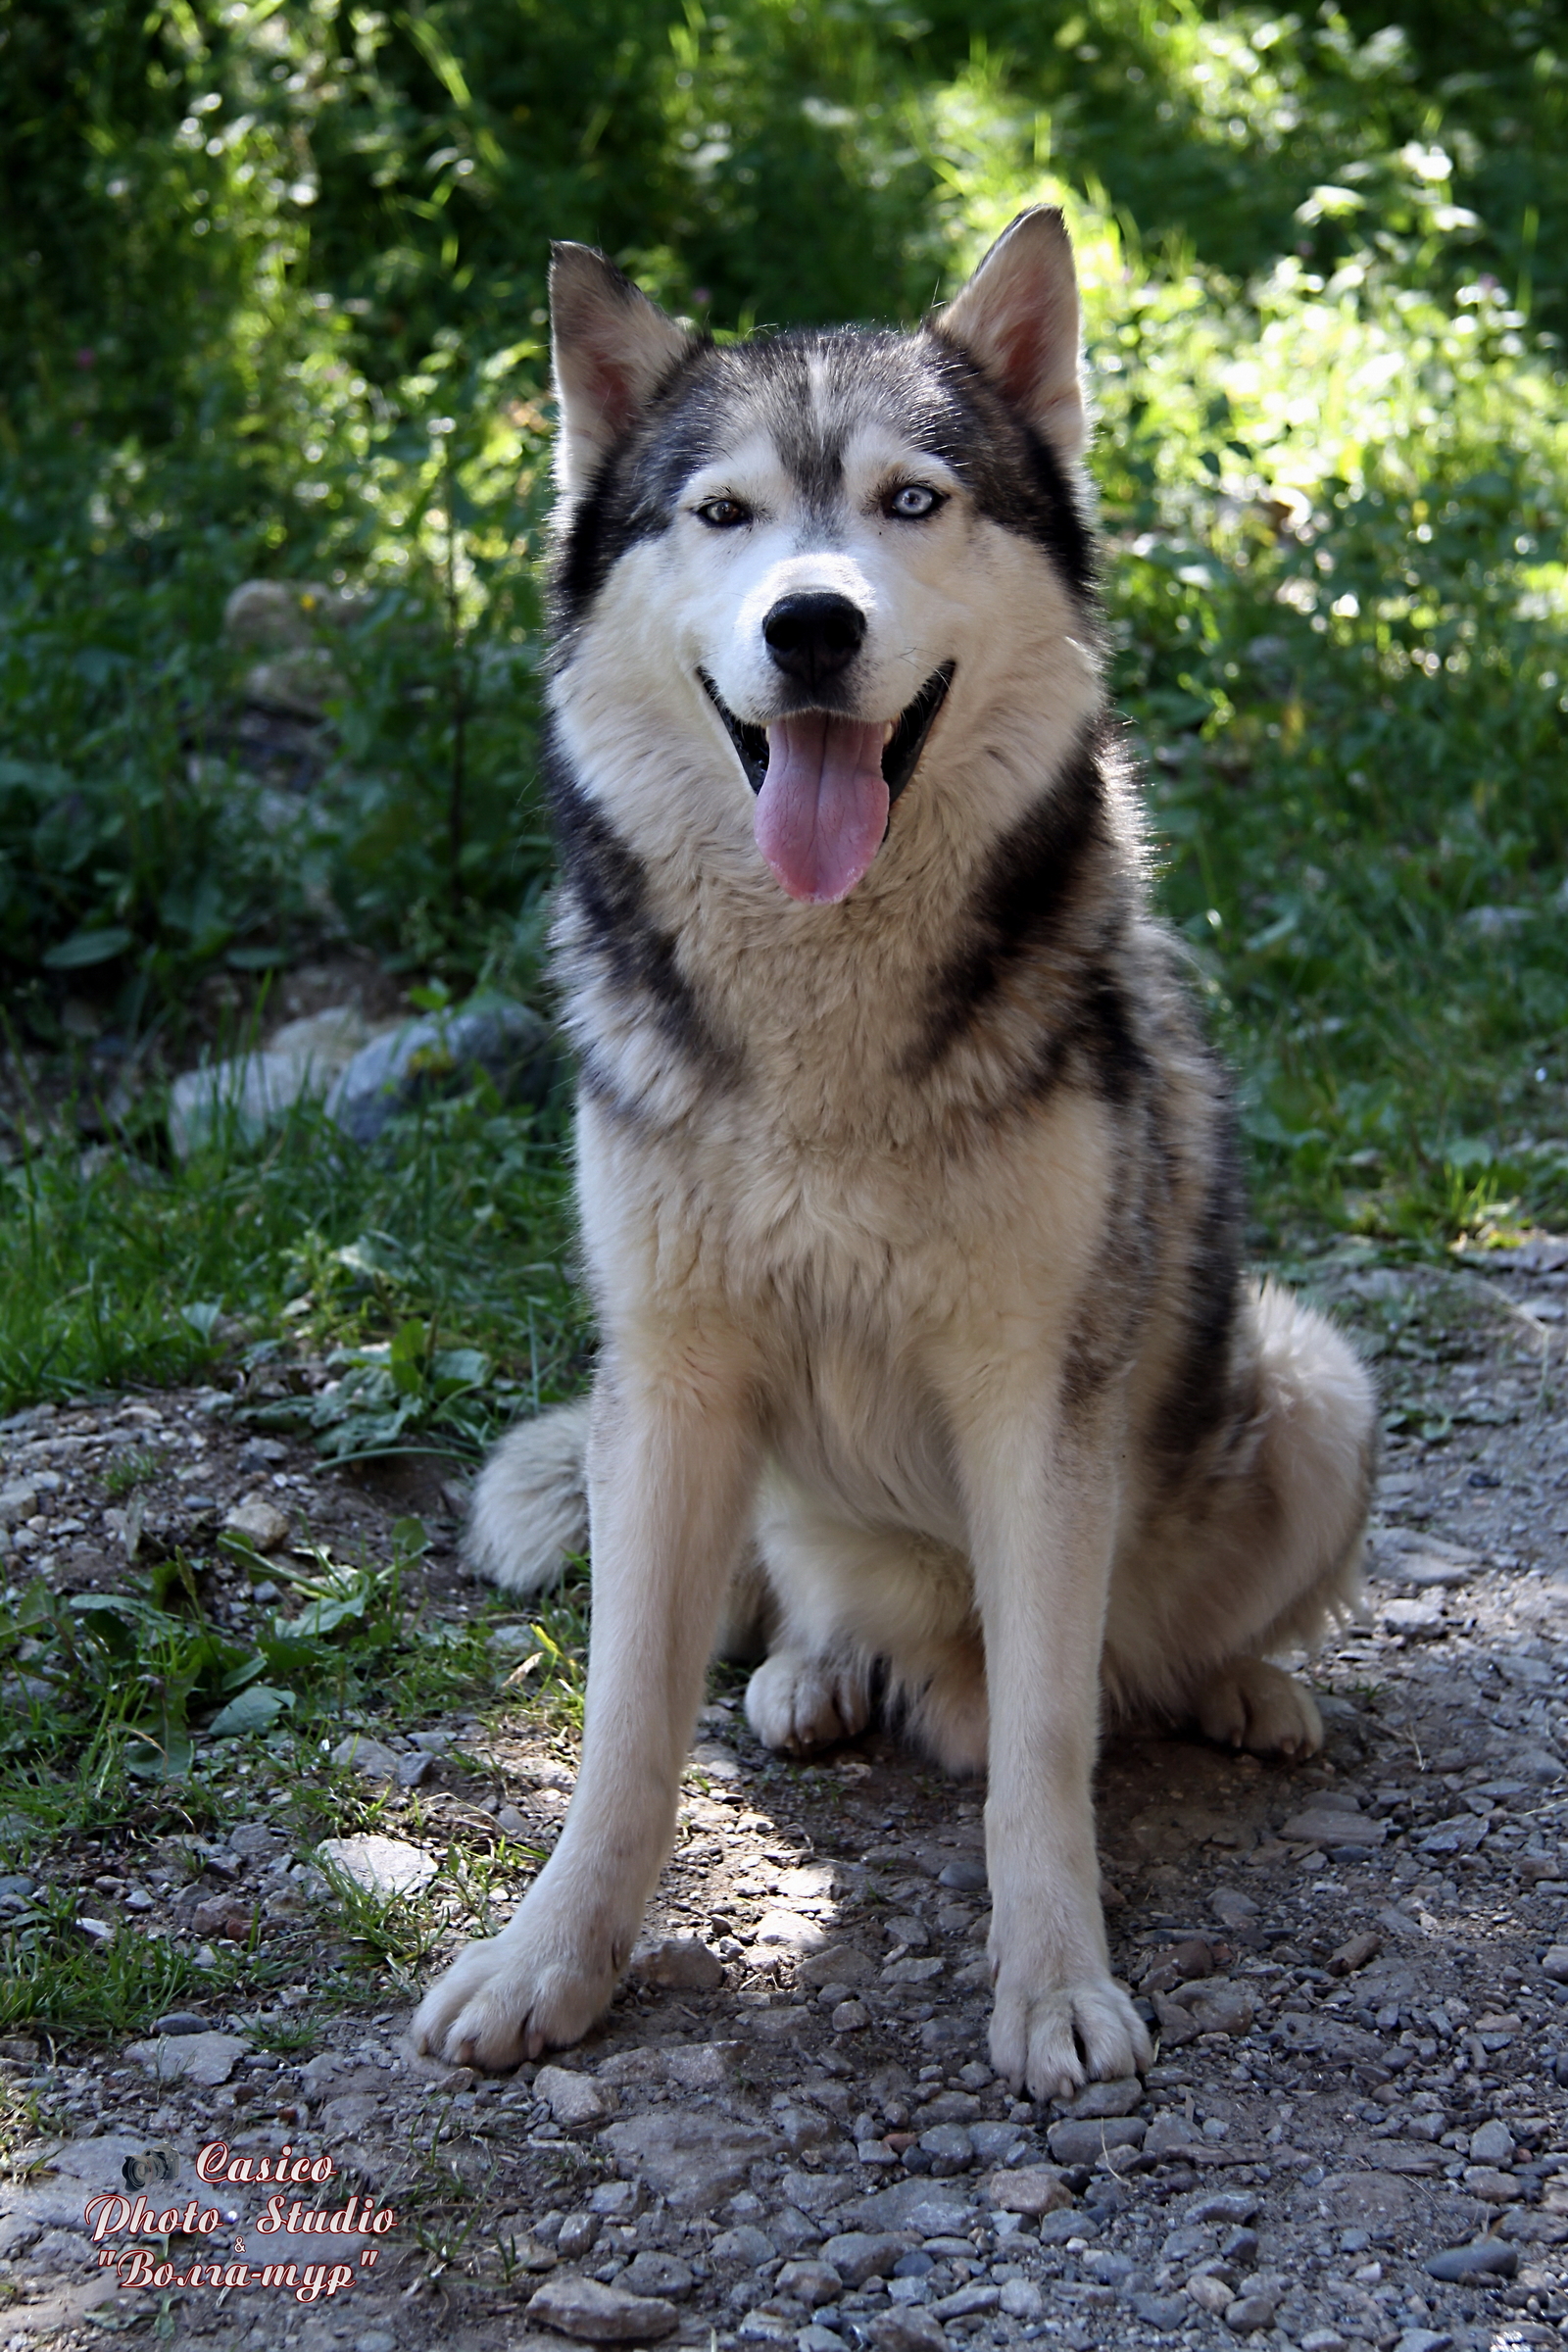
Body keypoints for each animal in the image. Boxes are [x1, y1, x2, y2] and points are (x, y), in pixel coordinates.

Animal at [414, 212, 1372, 2097]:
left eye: (910, 500)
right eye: (722, 514)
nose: (810, 622)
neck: (824, 1030)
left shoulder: (1038, 1407)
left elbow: (1052, 1753)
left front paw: (1055, 1985)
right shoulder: (671, 1385)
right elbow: (622, 1737)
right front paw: (551, 1962)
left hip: (1314, 1380)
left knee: (1146, 1670)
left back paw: (1241, 1692)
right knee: (805, 1616)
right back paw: (822, 1674)